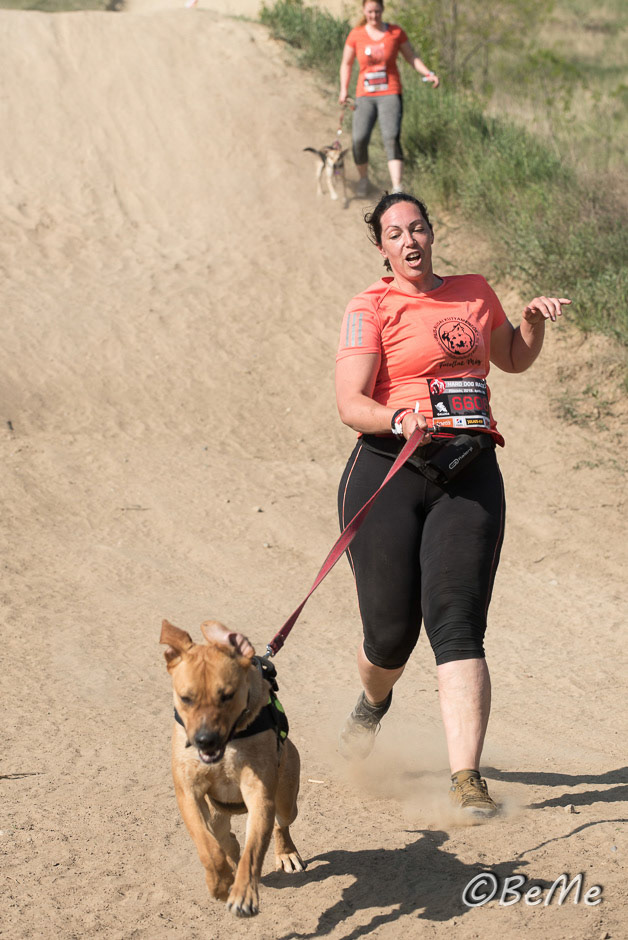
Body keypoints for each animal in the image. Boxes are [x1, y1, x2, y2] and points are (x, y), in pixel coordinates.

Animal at [160, 618, 305, 917]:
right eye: (186, 698)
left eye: (227, 695)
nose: (205, 739)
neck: (230, 744)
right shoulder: (188, 794)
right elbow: (208, 849)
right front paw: (219, 881)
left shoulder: (259, 795)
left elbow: (253, 852)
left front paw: (243, 894)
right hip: (215, 815)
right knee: (225, 839)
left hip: (286, 798)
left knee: (279, 825)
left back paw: (285, 853)